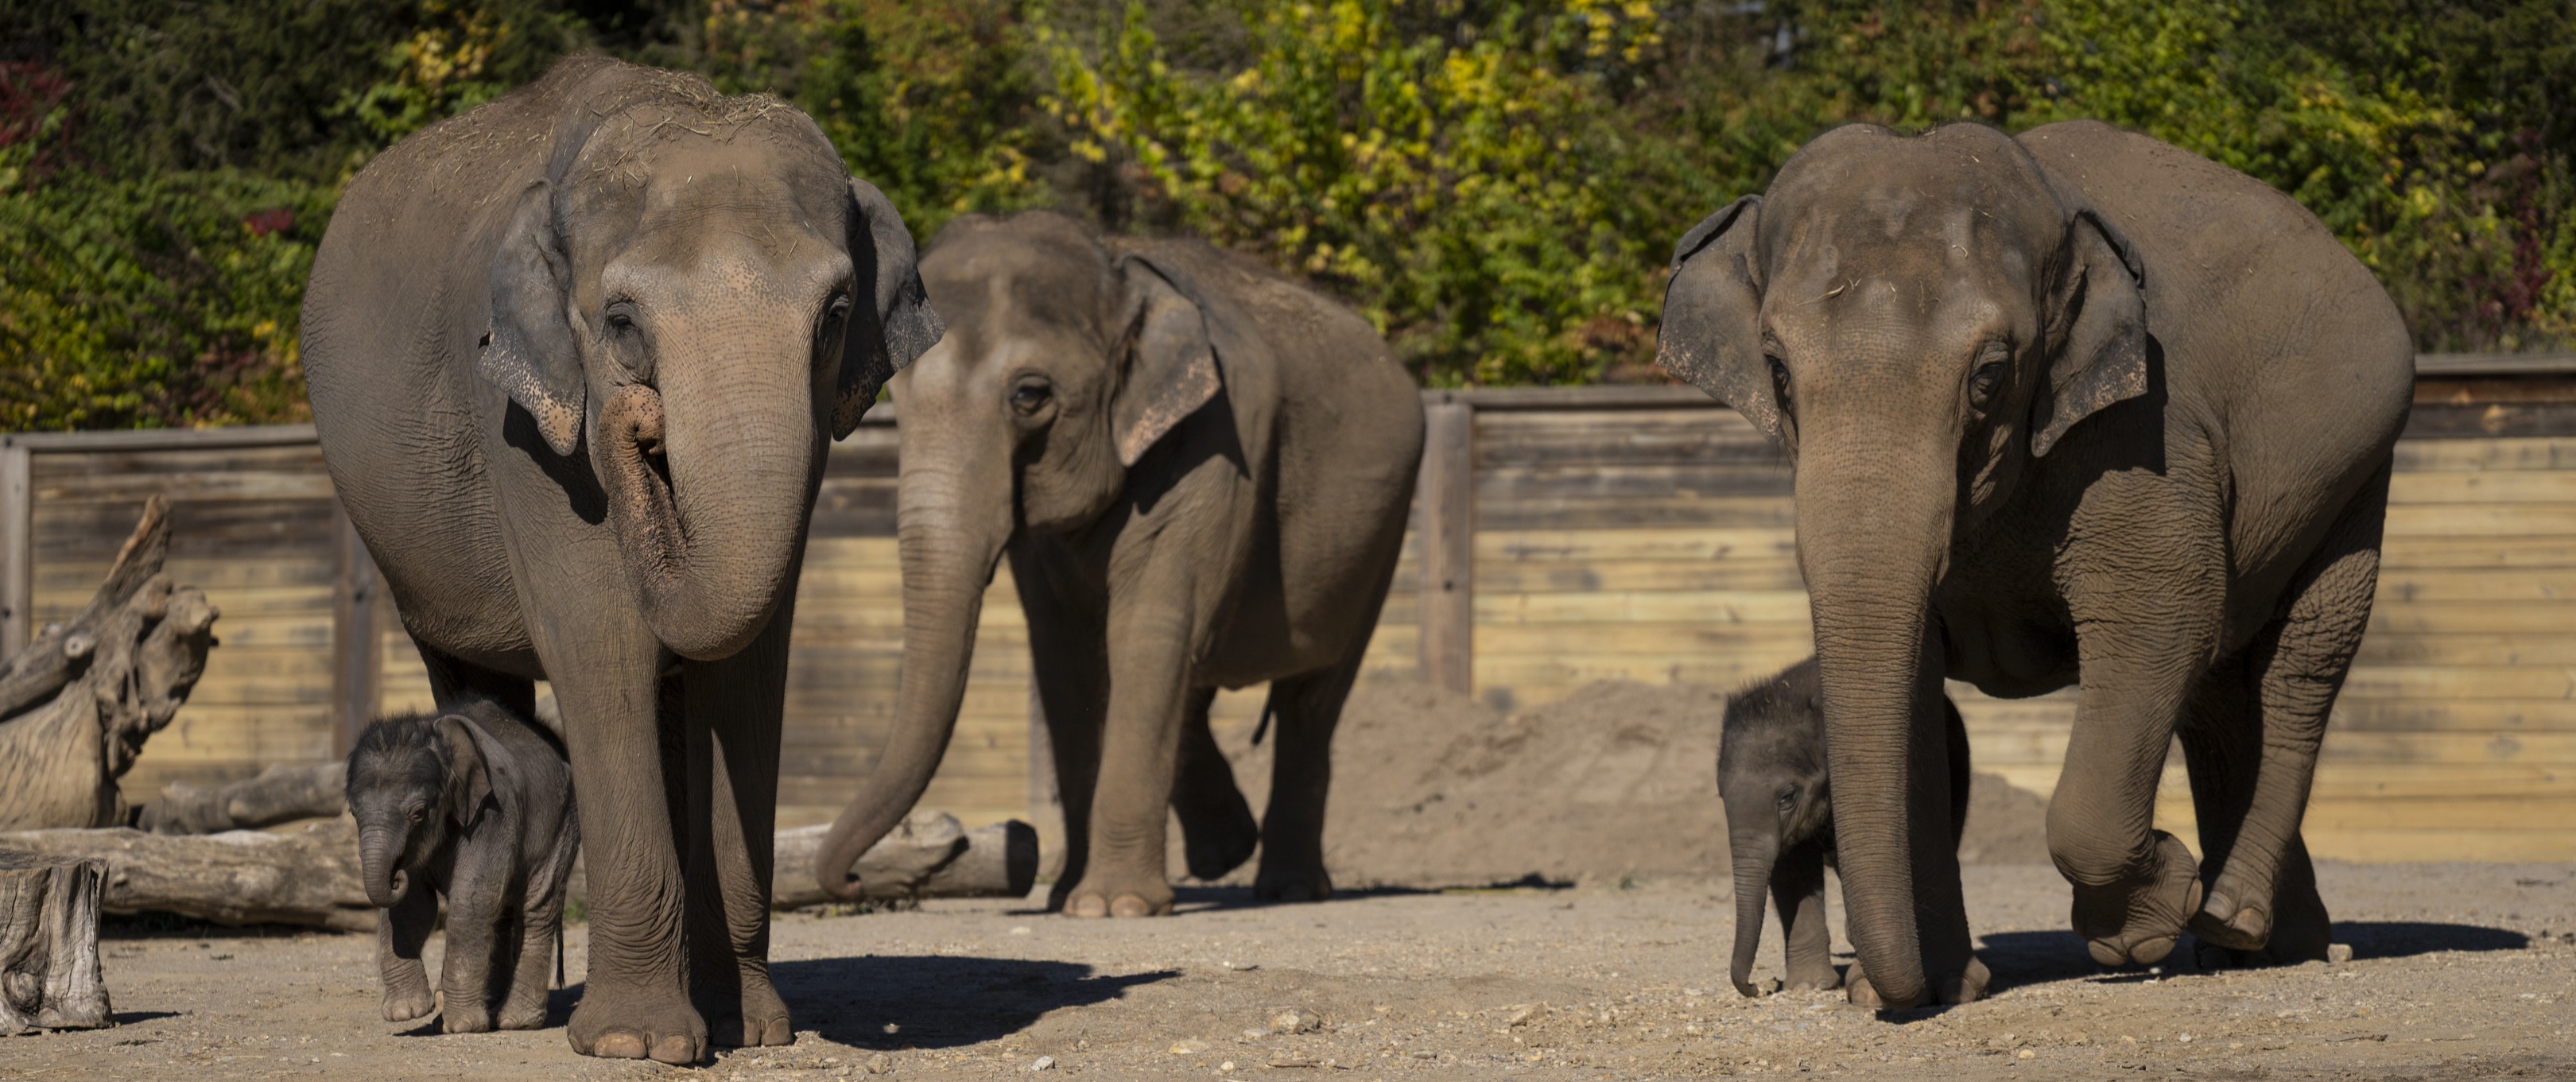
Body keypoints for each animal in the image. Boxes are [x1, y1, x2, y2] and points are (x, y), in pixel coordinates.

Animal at [348, 702, 579, 1033]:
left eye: (418, 813)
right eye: (353, 812)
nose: (396, 875)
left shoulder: (493, 812)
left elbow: (471, 897)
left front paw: (460, 1026)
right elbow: (413, 906)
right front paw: (407, 1012)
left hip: (562, 825)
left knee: (537, 907)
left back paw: (514, 1020)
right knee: (504, 911)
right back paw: (489, 1007)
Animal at [813, 213, 1424, 918]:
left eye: (1030, 395)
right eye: (901, 396)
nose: (855, 882)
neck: (1120, 280)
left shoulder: (1216, 442)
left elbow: (1147, 632)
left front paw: (1114, 906)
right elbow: (1065, 657)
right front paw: (1067, 900)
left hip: (1384, 532)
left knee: (1311, 699)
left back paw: (1290, 887)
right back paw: (1226, 852)